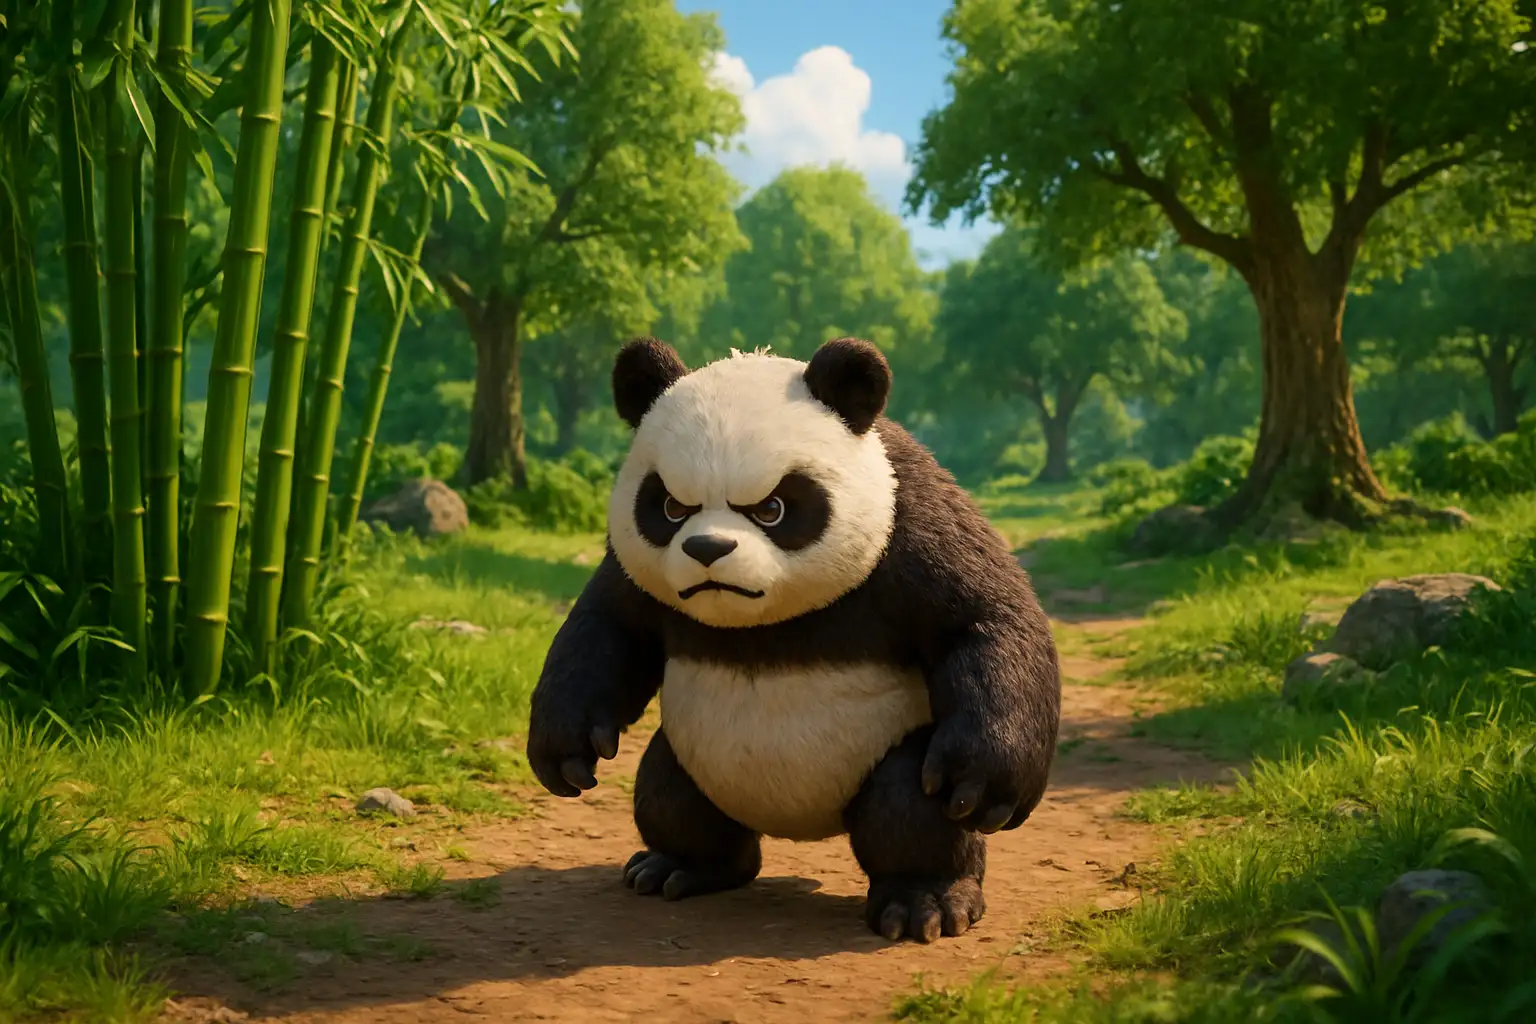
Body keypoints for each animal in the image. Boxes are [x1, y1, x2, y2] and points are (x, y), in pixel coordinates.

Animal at [526, 336, 1061, 944]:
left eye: (771, 508)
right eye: (671, 508)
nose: (707, 549)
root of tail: (800, 822)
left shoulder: (908, 517)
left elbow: (980, 620)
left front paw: (985, 787)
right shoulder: (634, 574)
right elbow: (609, 631)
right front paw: (567, 753)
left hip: (887, 754)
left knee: (909, 803)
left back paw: (925, 901)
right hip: (696, 756)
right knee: (670, 793)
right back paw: (682, 867)